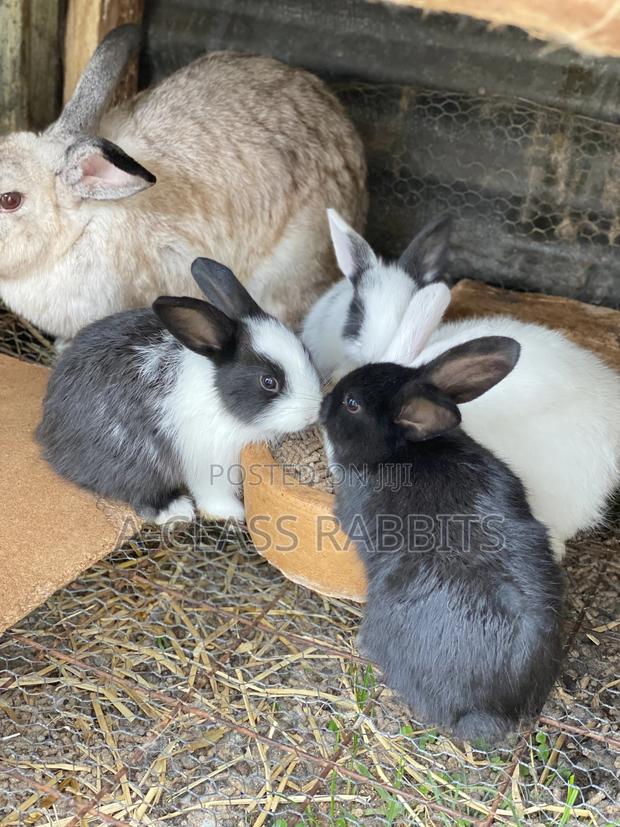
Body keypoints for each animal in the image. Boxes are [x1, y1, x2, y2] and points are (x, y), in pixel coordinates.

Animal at [37, 258, 322, 523]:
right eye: (269, 382)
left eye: (307, 352)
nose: (312, 414)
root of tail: (48, 433)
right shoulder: (208, 461)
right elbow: (213, 494)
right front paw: (234, 513)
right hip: (133, 457)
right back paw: (176, 510)